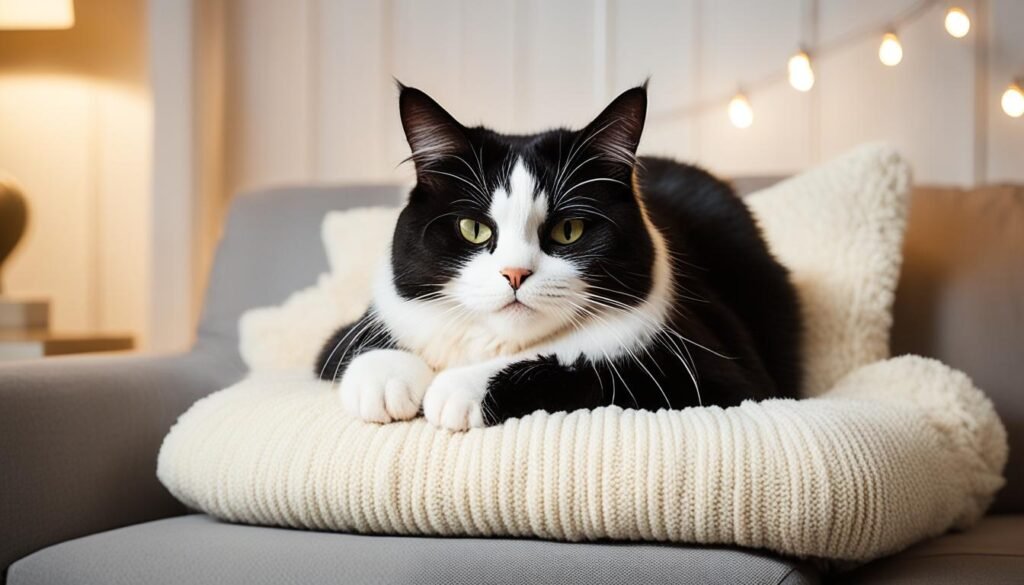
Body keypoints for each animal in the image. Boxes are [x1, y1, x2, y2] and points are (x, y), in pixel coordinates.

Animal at [311, 81, 798, 430]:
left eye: (569, 231)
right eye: (473, 229)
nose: (514, 273)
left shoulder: (718, 380)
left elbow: (587, 369)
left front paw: (457, 389)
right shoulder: (345, 335)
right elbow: (356, 346)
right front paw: (386, 379)